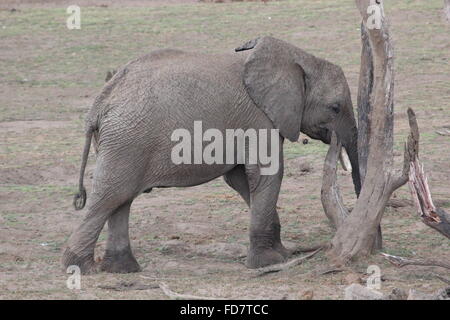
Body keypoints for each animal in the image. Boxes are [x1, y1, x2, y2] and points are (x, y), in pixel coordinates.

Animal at [63, 36, 360, 274]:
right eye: (335, 108)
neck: (297, 60)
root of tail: (100, 102)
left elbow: (241, 179)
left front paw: (281, 254)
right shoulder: (259, 117)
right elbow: (267, 174)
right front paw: (269, 263)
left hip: (122, 142)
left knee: (121, 200)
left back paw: (123, 270)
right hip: (127, 141)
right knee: (110, 197)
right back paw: (79, 269)